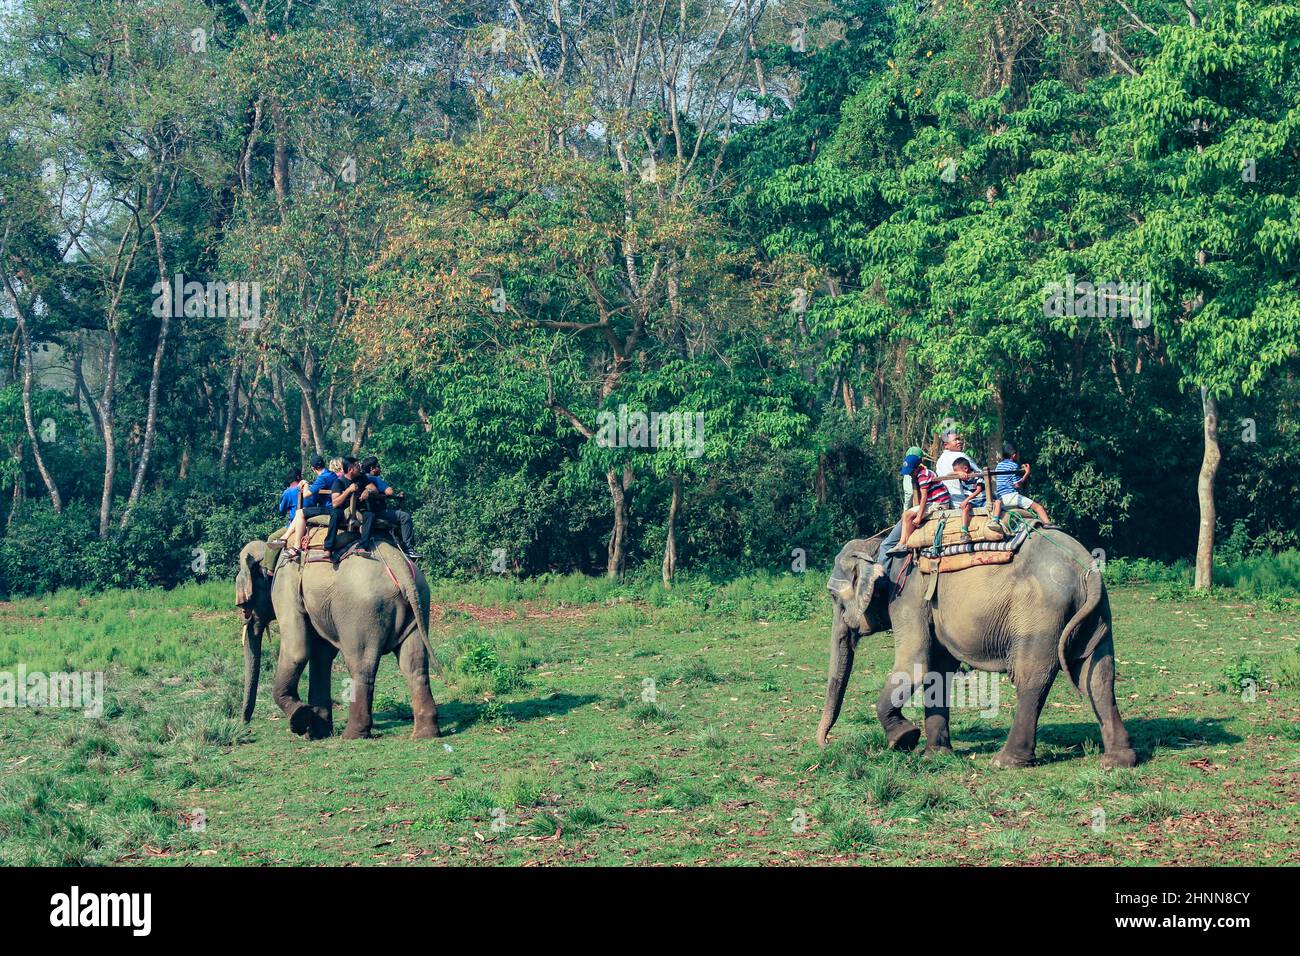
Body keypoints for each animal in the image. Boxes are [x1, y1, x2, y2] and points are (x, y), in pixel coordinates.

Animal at [232, 538, 436, 738]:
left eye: (244, 604)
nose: (245, 725)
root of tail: (398, 564)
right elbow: (322, 655)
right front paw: (317, 732)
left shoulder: (284, 588)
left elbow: (297, 650)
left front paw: (300, 720)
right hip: (419, 603)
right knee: (414, 664)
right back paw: (424, 734)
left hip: (362, 613)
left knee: (361, 665)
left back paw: (352, 735)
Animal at [821, 530, 1138, 770]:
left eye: (835, 599)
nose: (824, 743)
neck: (878, 546)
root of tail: (1086, 568)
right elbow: (938, 671)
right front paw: (934, 755)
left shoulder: (907, 595)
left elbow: (914, 664)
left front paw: (904, 739)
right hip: (1096, 614)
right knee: (1097, 674)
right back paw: (1117, 761)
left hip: (1040, 613)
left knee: (1031, 679)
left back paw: (1006, 762)